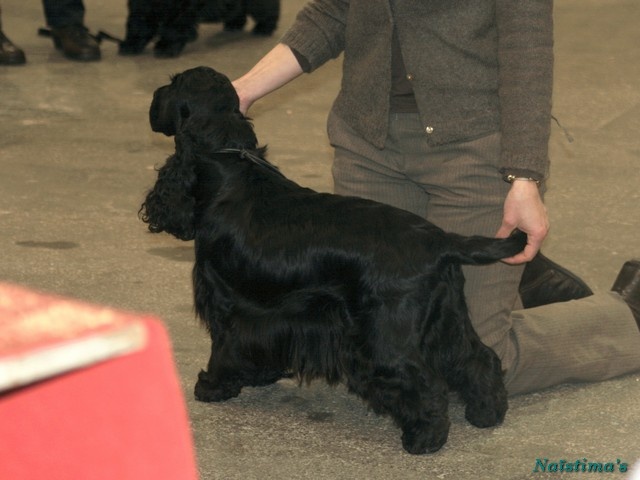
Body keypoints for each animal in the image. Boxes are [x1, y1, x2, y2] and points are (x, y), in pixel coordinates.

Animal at [120, 0, 280, 58]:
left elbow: (172, 28)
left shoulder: (180, 9)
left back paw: (264, 28)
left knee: (268, 9)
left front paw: (166, 47)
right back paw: (233, 25)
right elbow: (138, 26)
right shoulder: (141, 6)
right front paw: (130, 44)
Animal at [140, 67, 527, 454]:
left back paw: (424, 438)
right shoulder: (267, 313)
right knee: (477, 358)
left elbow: (223, 345)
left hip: (386, 333)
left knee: (422, 380)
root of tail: (440, 239)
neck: (229, 166)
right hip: (447, 318)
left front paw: (212, 386)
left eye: (172, 85)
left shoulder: (225, 299)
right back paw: (486, 413)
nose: (154, 97)